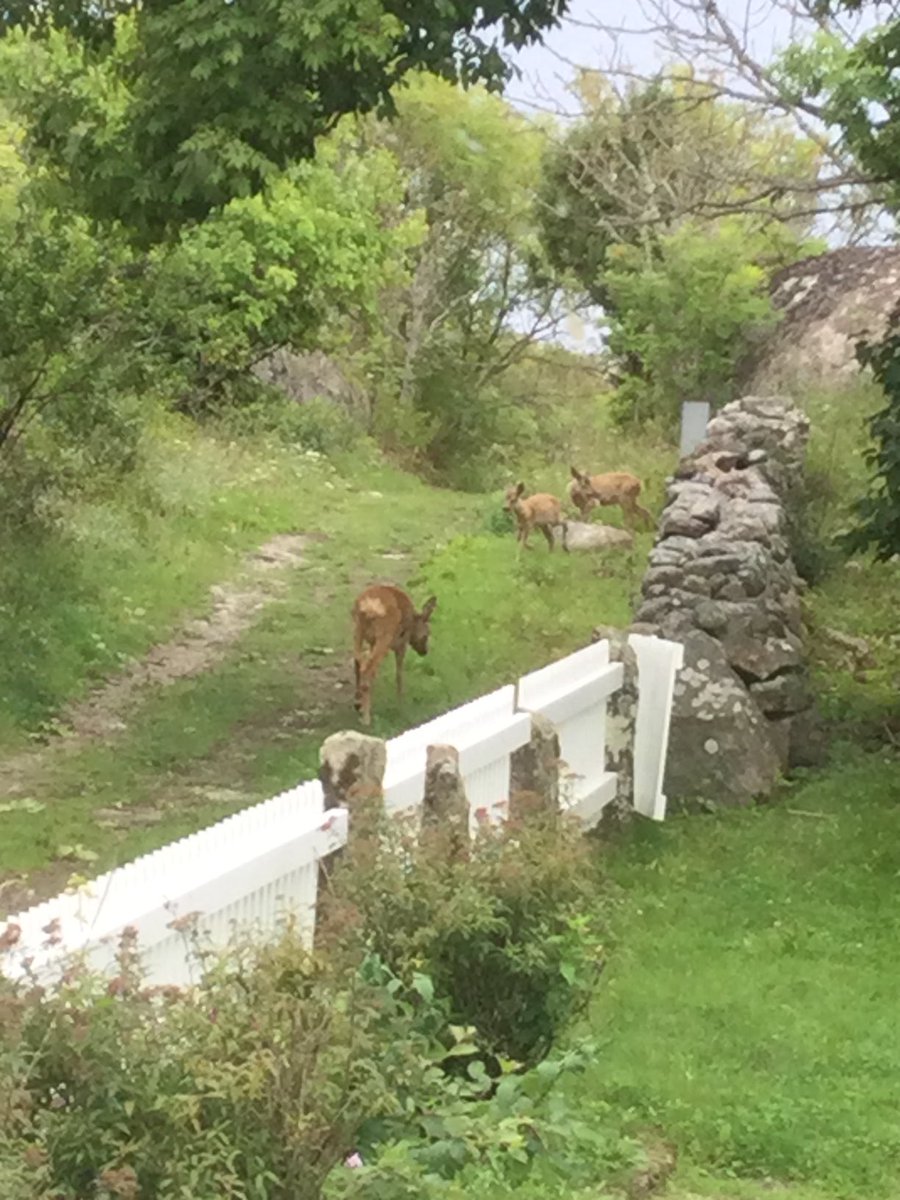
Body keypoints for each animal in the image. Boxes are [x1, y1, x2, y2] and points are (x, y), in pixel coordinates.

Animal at [351, 584, 437, 727]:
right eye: (427, 634)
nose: (424, 651)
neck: (412, 620)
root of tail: (368, 607)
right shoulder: (401, 644)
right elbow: (399, 673)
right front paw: (401, 703)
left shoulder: (372, 642)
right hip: (384, 636)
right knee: (367, 667)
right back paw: (366, 719)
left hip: (358, 631)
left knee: (358, 661)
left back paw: (359, 704)